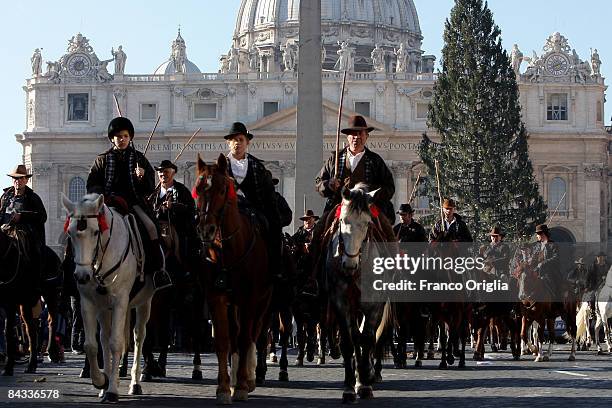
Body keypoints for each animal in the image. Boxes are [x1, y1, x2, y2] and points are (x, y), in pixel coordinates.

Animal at [62, 193, 155, 404]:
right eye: (70, 233)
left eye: (96, 232)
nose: (82, 276)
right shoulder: (88, 303)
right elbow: (91, 345)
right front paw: (101, 381)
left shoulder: (120, 301)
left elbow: (116, 343)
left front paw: (112, 390)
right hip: (105, 308)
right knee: (104, 338)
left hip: (144, 302)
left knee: (138, 337)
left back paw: (134, 383)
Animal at [195, 154, 272, 404]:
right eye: (198, 189)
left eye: (222, 190)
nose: (207, 230)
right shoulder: (216, 298)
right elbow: (223, 342)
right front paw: (223, 388)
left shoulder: (250, 299)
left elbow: (246, 338)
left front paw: (241, 386)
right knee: (236, 334)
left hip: (263, 302)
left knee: (254, 334)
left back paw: (248, 378)